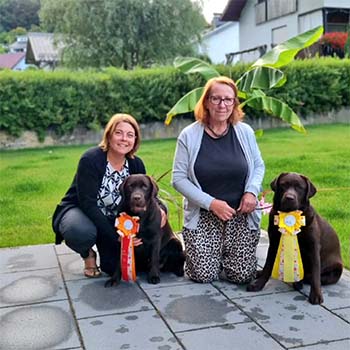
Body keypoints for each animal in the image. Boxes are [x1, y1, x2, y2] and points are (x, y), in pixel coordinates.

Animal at [247, 172, 344, 304]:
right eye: (283, 185)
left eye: (299, 187)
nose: (289, 198)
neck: (289, 214)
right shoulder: (274, 243)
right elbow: (268, 266)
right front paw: (258, 284)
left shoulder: (313, 248)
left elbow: (315, 274)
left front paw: (316, 295)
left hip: (335, 271)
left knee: (312, 277)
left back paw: (299, 283)